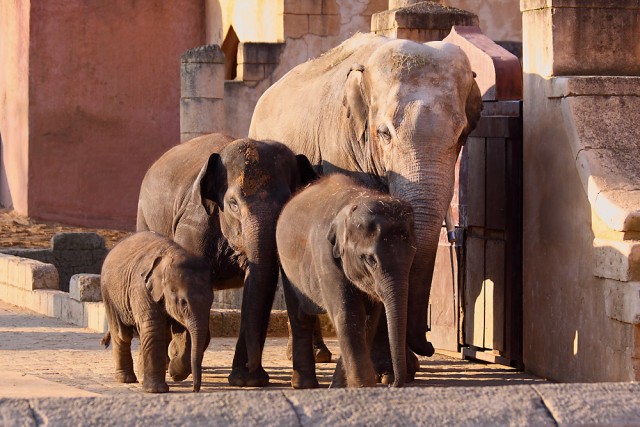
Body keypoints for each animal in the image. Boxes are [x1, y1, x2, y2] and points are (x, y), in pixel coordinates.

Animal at [100, 232, 212, 392]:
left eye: (211, 302)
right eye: (183, 302)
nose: (195, 389)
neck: (172, 254)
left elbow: (181, 331)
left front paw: (174, 373)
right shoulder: (141, 288)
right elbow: (153, 327)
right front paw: (157, 390)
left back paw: (141, 379)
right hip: (109, 294)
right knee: (122, 334)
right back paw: (126, 379)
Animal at [136, 134, 316, 388]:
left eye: (286, 204)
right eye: (233, 204)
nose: (253, 366)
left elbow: (258, 284)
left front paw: (245, 381)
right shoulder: (194, 224)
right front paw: (178, 369)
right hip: (144, 218)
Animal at [278, 175, 418, 392]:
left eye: (413, 255)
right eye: (370, 259)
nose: (392, 384)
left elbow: (369, 320)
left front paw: (341, 386)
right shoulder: (325, 256)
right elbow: (348, 314)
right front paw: (362, 387)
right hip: (287, 269)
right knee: (300, 317)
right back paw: (304, 386)